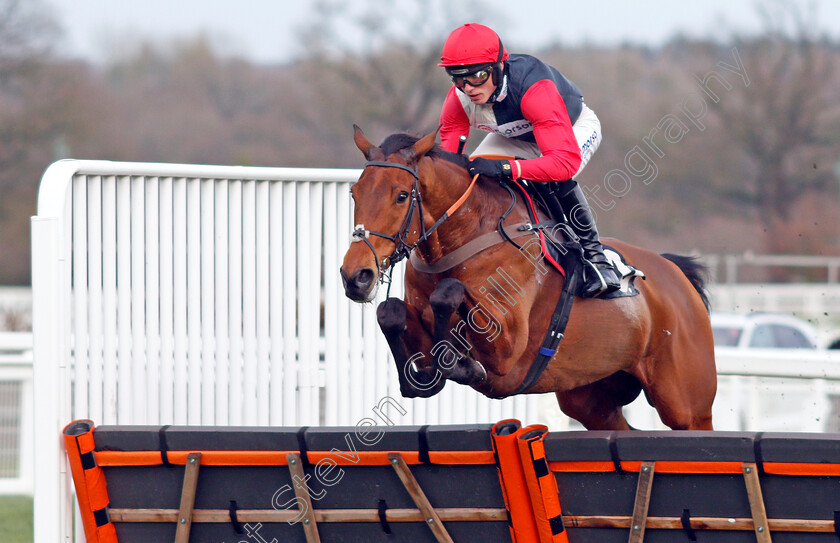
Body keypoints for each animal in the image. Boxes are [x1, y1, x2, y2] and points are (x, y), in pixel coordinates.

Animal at [340, 125, 716, 432]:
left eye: (402, 195)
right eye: (355, 193)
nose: (356, 276)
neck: (465, 236)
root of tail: (675, 274)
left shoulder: (508, 352)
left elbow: (448, 294)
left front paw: (466, 365)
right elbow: (390, 313)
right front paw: (429, 374)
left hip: (688, 407)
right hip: (591, 398)